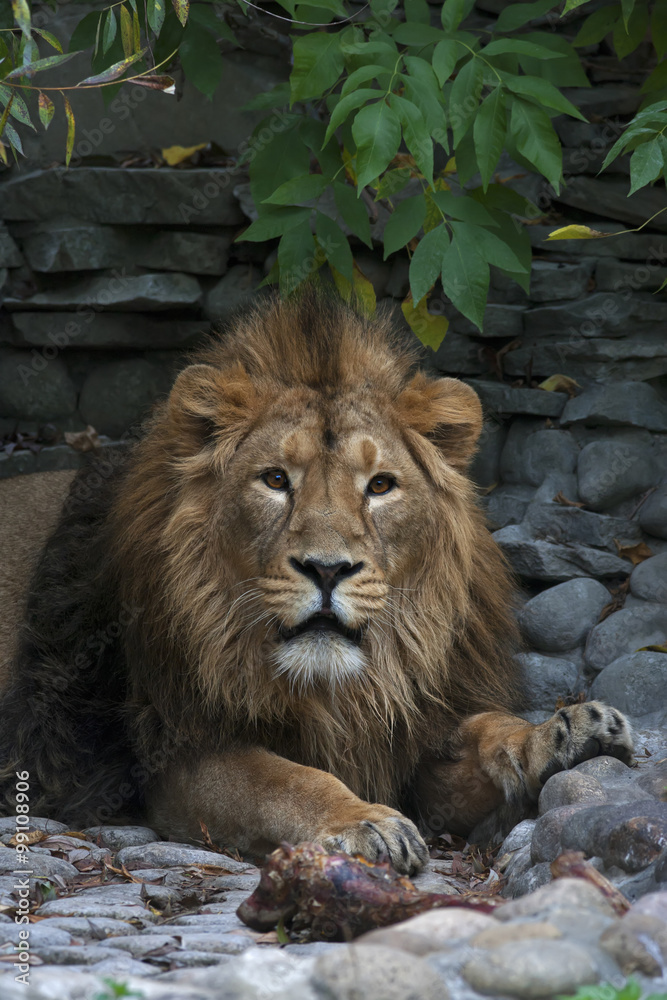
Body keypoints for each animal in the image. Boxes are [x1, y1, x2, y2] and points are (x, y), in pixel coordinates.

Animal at [0, 292, 633, 874]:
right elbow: (284, 779)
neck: (336, 693)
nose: (327, 570)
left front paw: (562, 733)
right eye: (276, 480)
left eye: (380, 485)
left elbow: (483, 730)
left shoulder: (409, 730)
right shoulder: (176, 749)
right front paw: (365, 821)